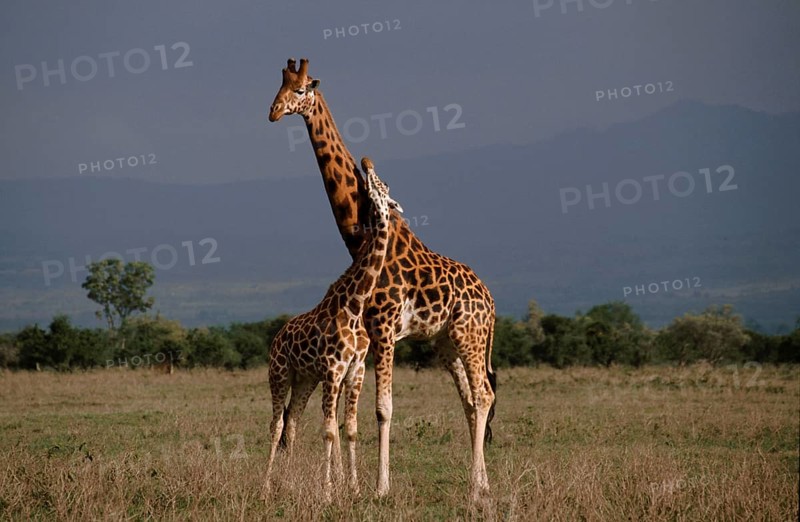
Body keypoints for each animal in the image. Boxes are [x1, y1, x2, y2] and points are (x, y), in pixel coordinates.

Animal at [264, 157, 402, 500]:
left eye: (382, 186)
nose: (367, 163)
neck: (354, 305)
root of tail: (277, 337)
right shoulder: (332, 368)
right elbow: (328, 430)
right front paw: (327, 492)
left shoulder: (353, 370)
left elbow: (348, 429)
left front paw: (352, 488)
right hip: (280, 373)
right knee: (276, 425)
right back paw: (265, 486)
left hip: (304, 379)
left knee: (292, 423)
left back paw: (286, 483)